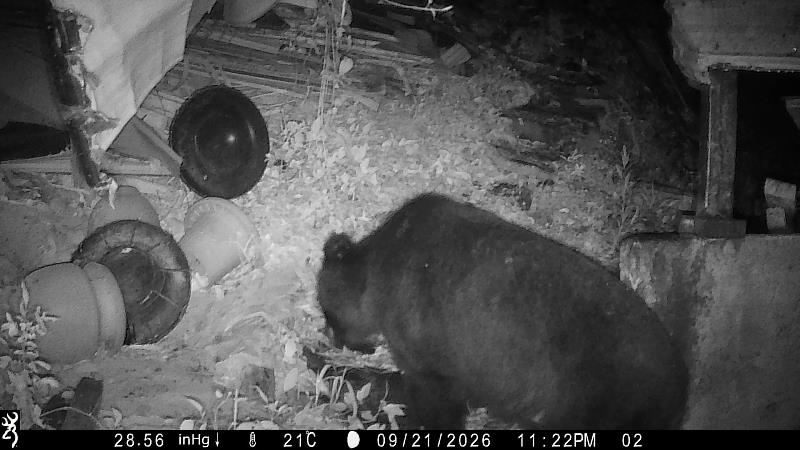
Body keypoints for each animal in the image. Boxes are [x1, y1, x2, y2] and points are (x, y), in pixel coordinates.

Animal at [316, 193, 688, 429]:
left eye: (325, 309)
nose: (330, 336)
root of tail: (678, 385)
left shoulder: (423, 332)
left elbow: (435, 393)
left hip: (602, 396)